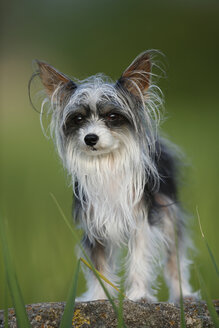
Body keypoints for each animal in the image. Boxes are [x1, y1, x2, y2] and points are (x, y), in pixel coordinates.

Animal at [34, 51, 197, 302]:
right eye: (78, 119)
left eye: (112, 116)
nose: (90, 138)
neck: (107, 164)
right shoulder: (94, 223)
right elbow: (99, 265)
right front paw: (99, 297)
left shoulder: (141, 220)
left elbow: (139, 260)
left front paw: (139, 295)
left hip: (169, 213)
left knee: (174, 257)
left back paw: (182, 294)